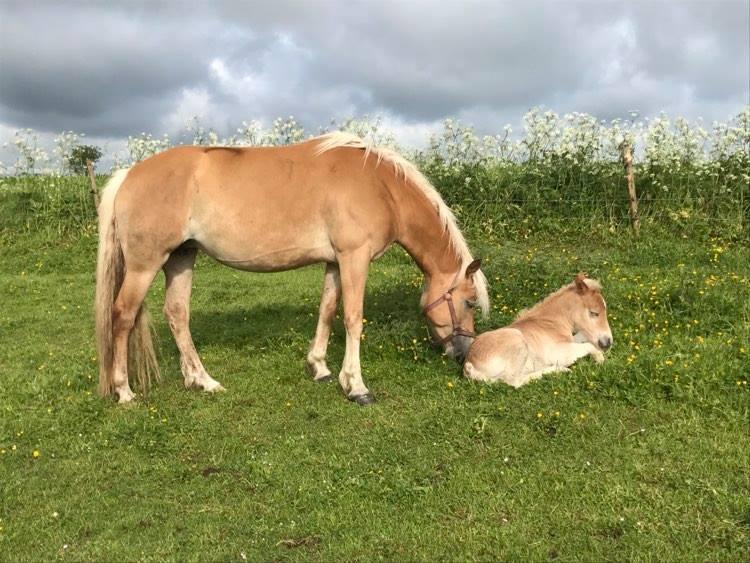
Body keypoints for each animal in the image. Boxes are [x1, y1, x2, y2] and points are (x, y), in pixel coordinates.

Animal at [94, 132, 490, 406]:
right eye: (469, 302)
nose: (463, 354)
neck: (380, 186)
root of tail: (128, 174)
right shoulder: (354, 257)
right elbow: (353, 318)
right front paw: (356, 386)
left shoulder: (335, 261)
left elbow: (328, 310)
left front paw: (320, 368)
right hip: (145, 265)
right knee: (122, 315)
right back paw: (124, 391)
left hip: (181, 258)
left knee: (177, 314)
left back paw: (202, 380)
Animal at [464, 274, 616, 388]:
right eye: (594, 313)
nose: (608, 342)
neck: (551, 323)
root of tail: (469, 364)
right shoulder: (561, 352)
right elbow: (588, 346)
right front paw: (600, 358)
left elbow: (583, 337)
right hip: (517, 339)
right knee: (514, 381)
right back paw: (560, 370)